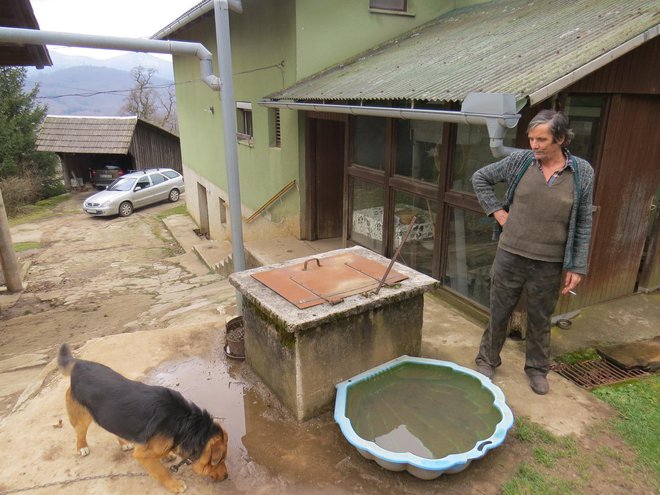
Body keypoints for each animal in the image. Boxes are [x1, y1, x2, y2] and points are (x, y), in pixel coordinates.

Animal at [59, 344, 229, 492]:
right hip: (82, 416)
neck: (184, 425)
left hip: (111, 414)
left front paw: (166, 456)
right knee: (80, 432)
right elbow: (161, 471)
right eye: (219, 460)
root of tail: (79, 363)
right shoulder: (142, 455)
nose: (227, 476)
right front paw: (174, 484)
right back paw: (82, 447)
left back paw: (124, 443)